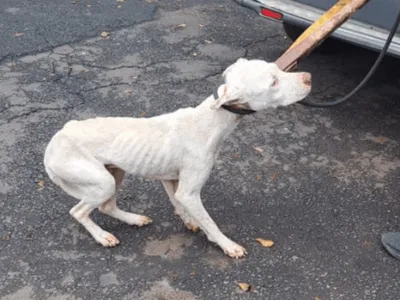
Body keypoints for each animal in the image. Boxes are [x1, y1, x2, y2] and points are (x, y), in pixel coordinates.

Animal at [44, 58, 312, 258]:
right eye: (273, 82)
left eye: (277, 69)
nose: (308, 77)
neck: (211, 121)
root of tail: (55, 140)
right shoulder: (189, 191)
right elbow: (209, 221)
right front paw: (226, 244)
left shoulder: (172, 180)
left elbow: (179, 204)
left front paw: (190, 221)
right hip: (101, 181)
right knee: (79, 212)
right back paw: (102, 236)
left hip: (115, 172)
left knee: (106, 205)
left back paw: (133, 219)